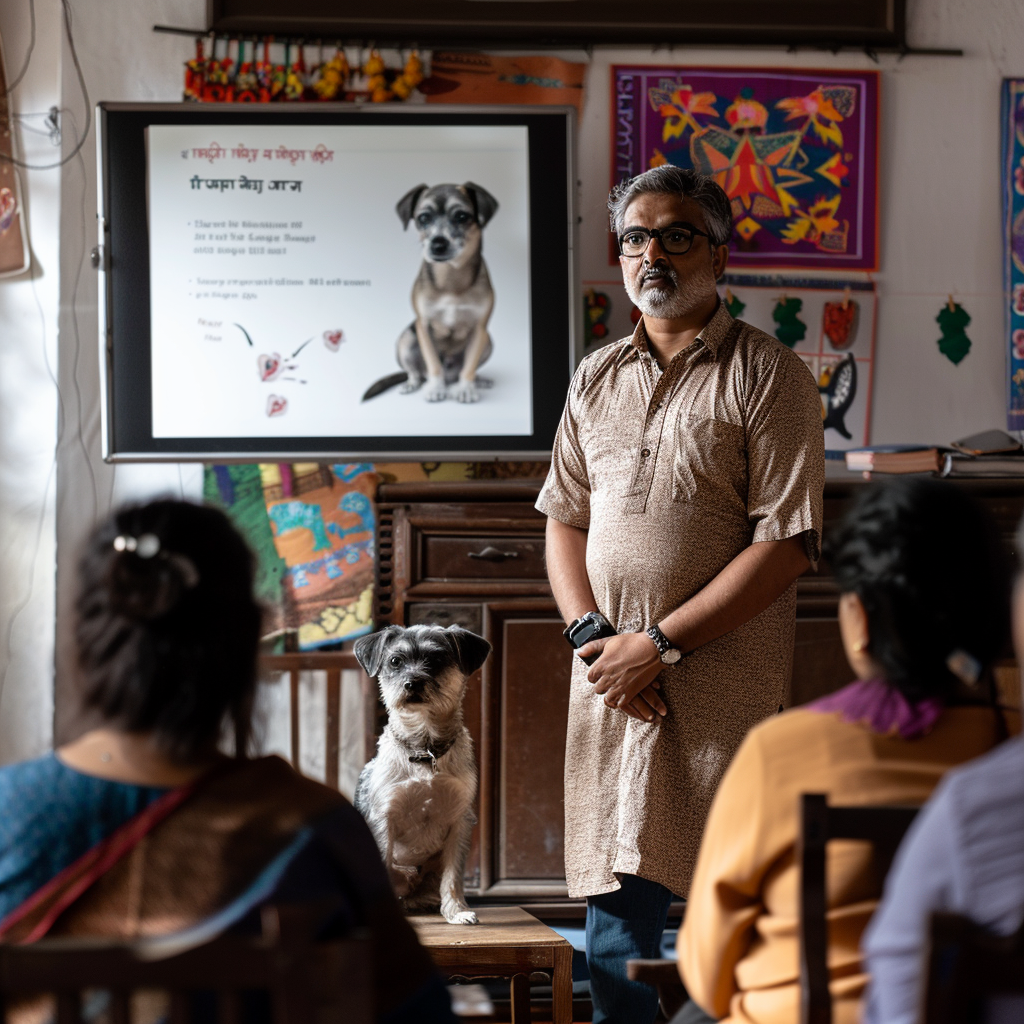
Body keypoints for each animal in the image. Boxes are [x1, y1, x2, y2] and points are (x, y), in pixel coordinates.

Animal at [356, 622, 491, 929]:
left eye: (437, 660)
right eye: (395, 661)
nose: (412, 683)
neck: (424, 750)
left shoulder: (459, 819)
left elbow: (453, 876)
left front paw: (457, 910)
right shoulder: (385, 817)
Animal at [364, 182, 499, 405]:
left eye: (462, 216)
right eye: (423, 218)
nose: (438, 244)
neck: (451, 280)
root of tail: (450, 376)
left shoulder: (479, 329)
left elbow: (469, 367)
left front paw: (465, 388)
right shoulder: (424, 326)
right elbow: (433, 364)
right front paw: (436, 388)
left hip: (488, 340)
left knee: (466, 370)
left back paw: (477, 381)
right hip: (407, 339)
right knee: (417, 373)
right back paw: (413, 383)